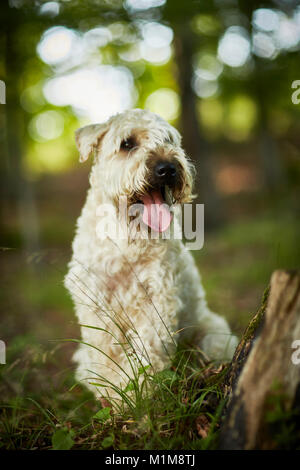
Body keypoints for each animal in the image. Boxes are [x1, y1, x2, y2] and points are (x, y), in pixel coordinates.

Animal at [64, 108, 238, 402]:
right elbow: (107, 350)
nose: (167, 168)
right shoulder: (95, 301)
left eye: (168, 139)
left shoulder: (159, 298)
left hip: (213, 336)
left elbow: (147, 349)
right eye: (127, 143)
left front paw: (136, 391)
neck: (126, 239)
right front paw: (114, 392)